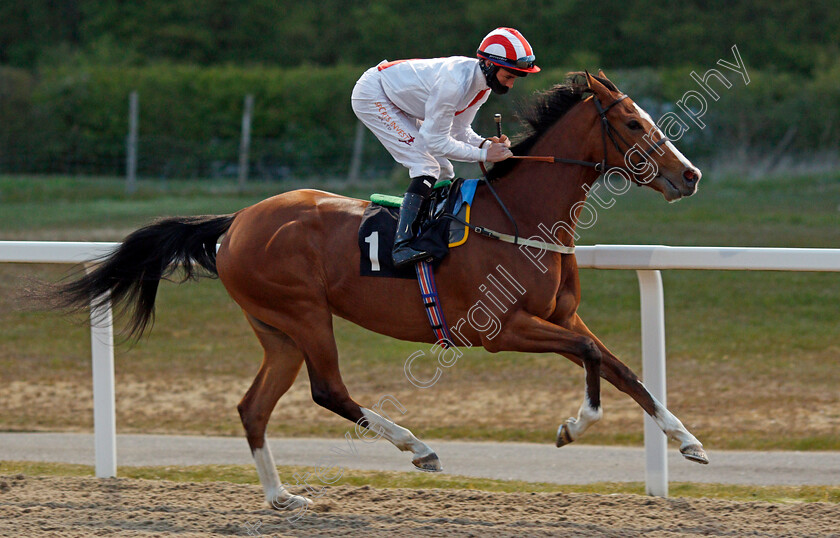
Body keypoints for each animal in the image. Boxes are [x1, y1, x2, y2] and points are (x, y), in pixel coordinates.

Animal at [54, 71, 708, 506]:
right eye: (633, 123)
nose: (690, 175)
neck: (521, 216)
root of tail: (235, 221)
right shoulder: (503, 330)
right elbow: (595, 358)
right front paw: (574, 426)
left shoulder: (562, 319)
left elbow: (624, 369)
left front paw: (689, 441)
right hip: (304, 313)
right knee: (329, 391)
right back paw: (417, 447)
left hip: (276, 330)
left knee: (253, 407)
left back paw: (281, 497)